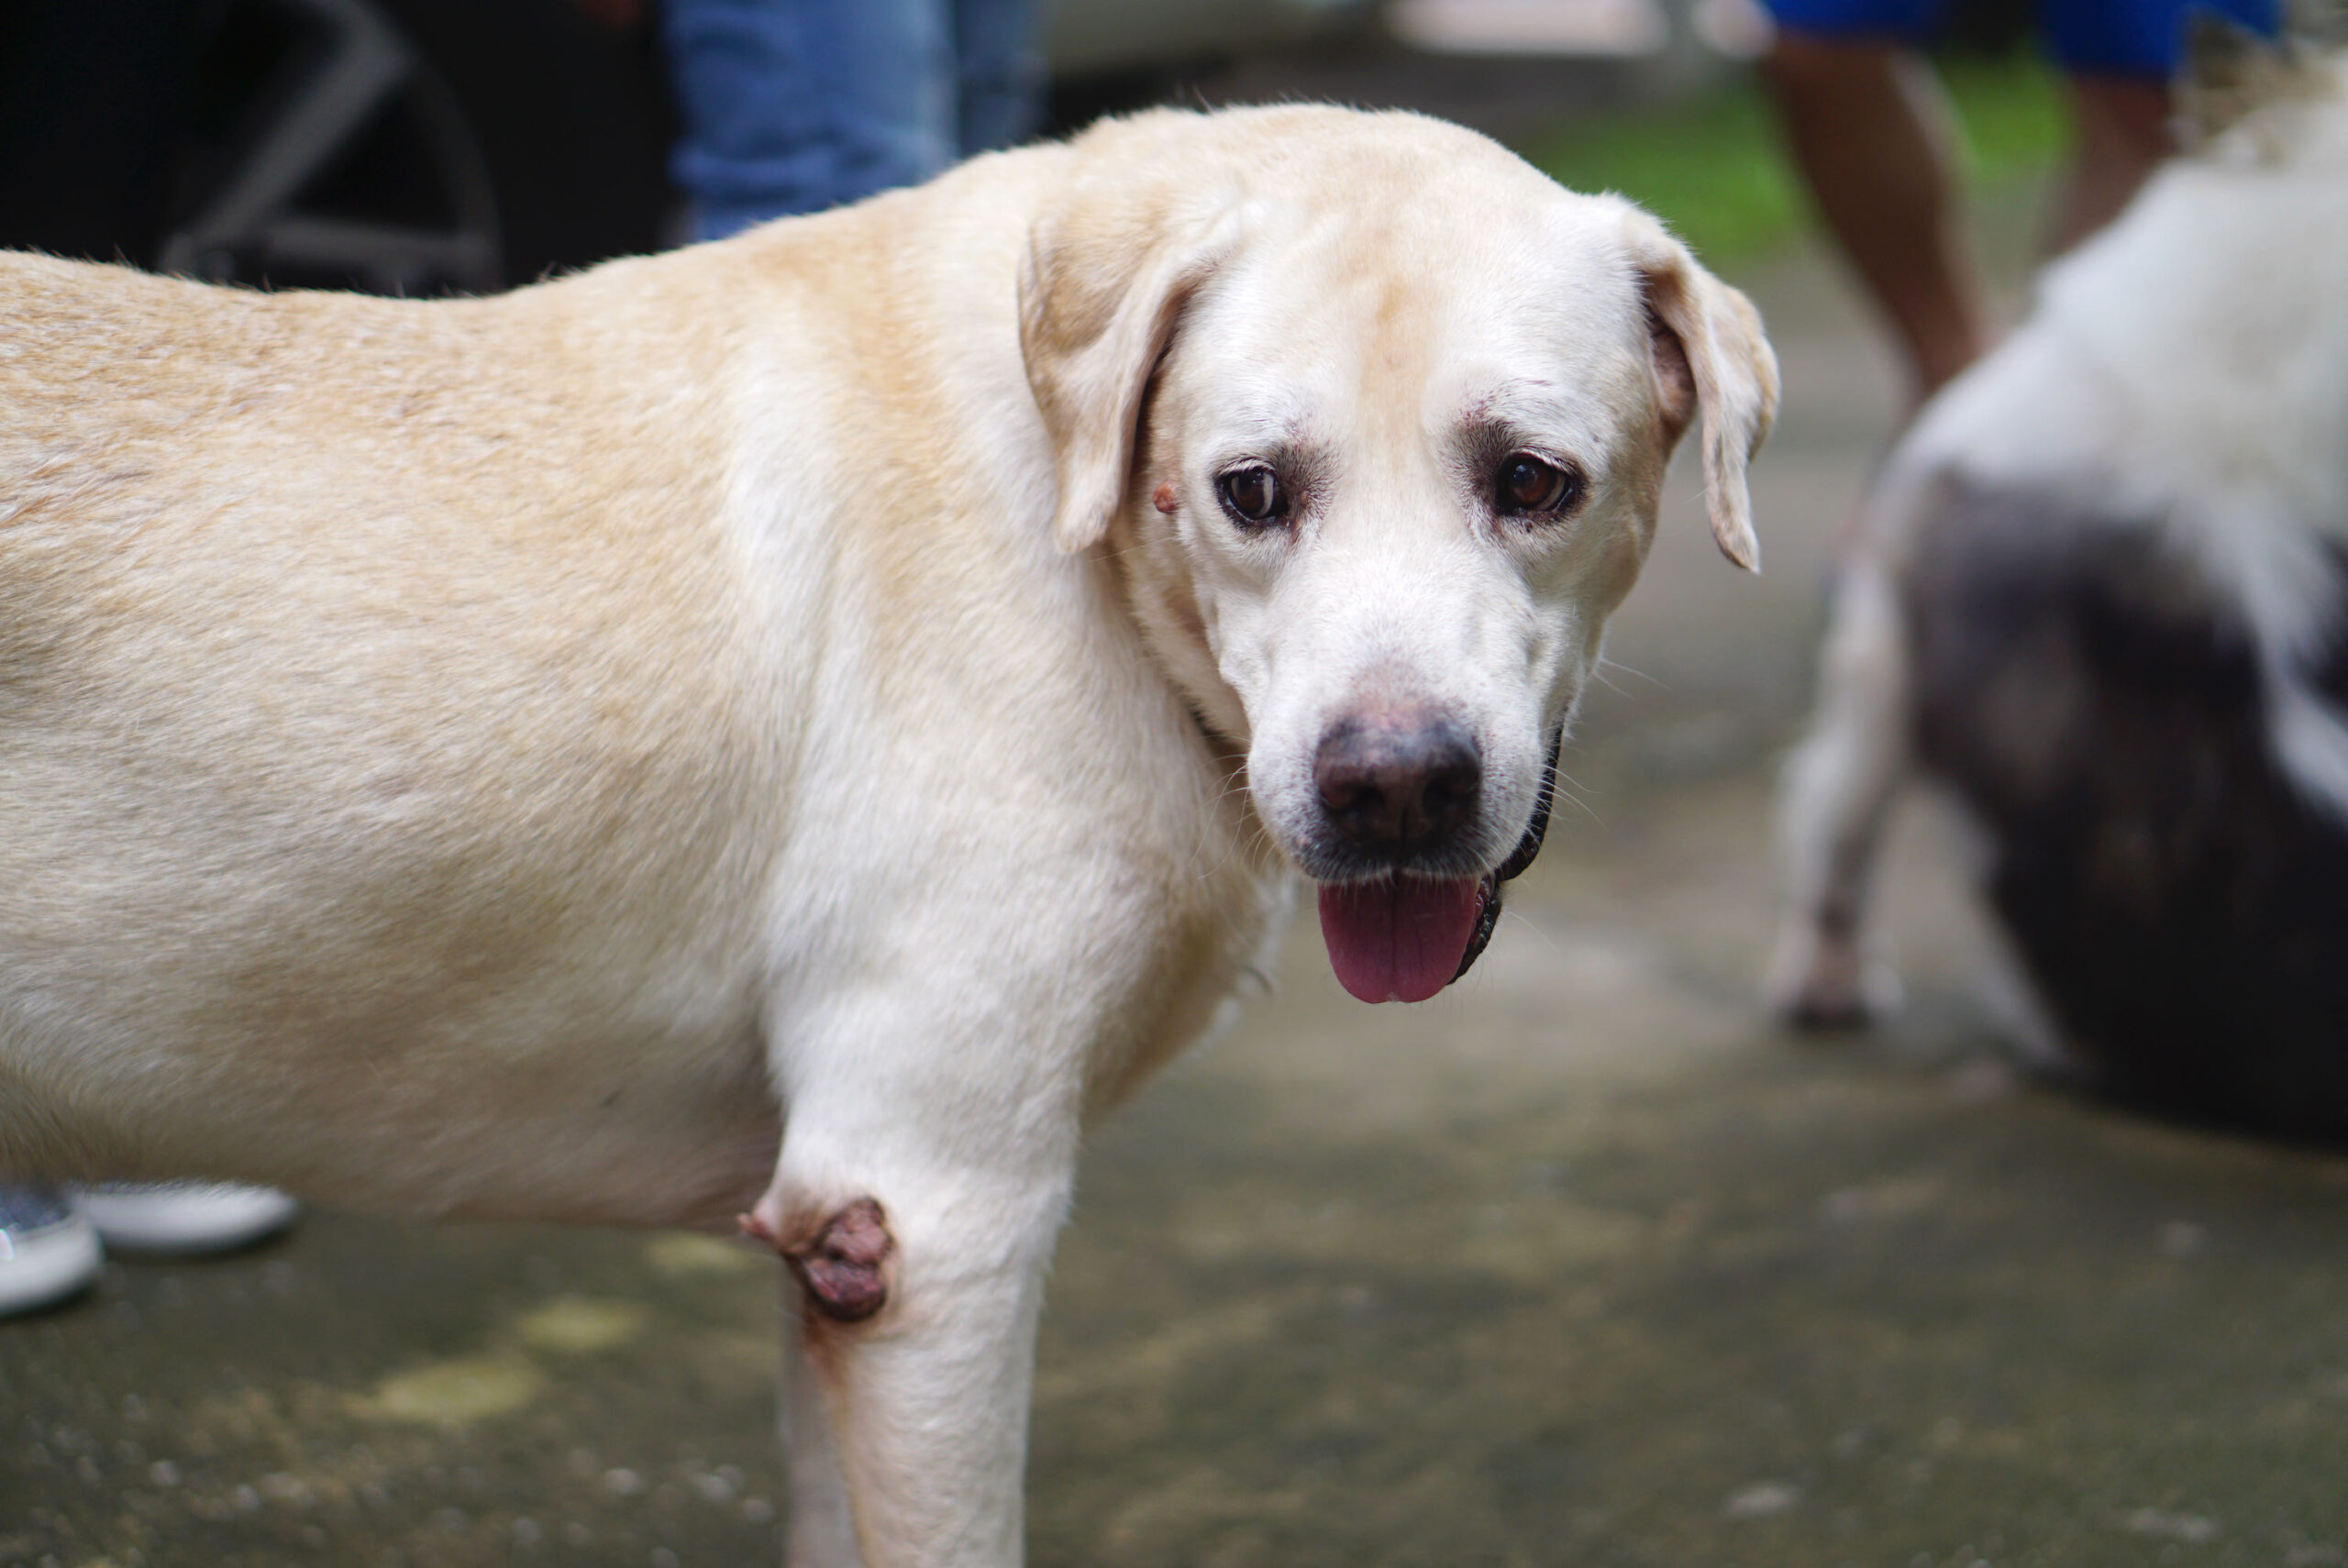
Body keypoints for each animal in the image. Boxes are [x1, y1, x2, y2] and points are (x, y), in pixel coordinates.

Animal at [0, 104, 1766, 1558]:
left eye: (1534, 481)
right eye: (1251, 491)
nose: (1392, 786)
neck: (1071, 512)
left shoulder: (836, 1247)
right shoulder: (936, 1223)